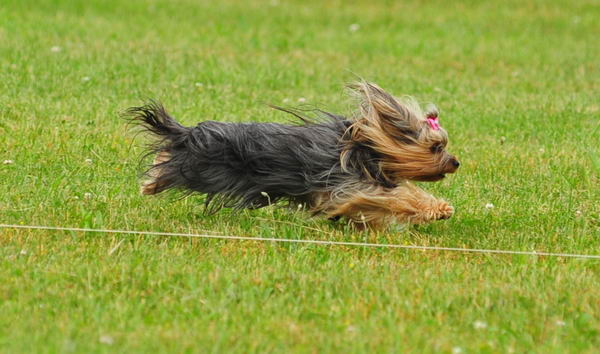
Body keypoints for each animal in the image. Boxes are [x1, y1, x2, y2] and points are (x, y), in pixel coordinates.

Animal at [129, 81, 460, 228]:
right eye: (436, 147)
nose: (456, 162)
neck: (366, 150)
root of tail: (190, 133)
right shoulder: (347, 184)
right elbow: (397, 197)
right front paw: (439, 208)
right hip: (205, 169)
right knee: (170, 164)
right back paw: (151, 183)